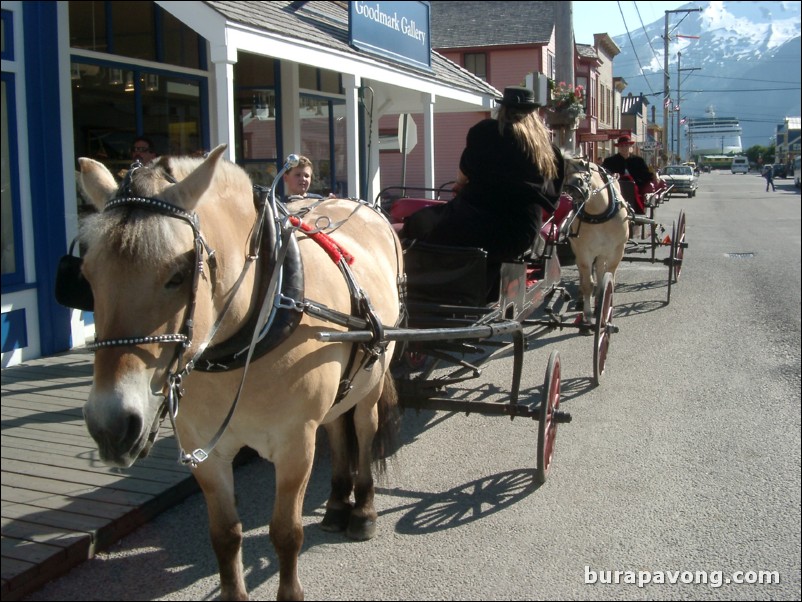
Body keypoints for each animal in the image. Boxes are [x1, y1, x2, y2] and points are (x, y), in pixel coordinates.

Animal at [73, 146, 400, 600]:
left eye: (178, 275)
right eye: (87, 275)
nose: (111, 425)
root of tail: (362, 205)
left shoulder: (295, 445)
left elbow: (286, 532)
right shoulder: (205, 454)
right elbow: (225, 535)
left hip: (373, 377)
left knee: (364, 430)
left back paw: (364, 510)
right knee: (336, 427)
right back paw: (336, 505)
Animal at [560, 155, 628, 324]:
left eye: (583, 165)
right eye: (563, 172)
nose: (573, 188)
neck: (598, 214)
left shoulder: (617, 250)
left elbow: (608, 279)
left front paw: (605, 304)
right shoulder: (583, 251)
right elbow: (588, 283)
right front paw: (588, 315)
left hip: (603, 251)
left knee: (600, 270)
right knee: (584, 272)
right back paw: (582, 299)